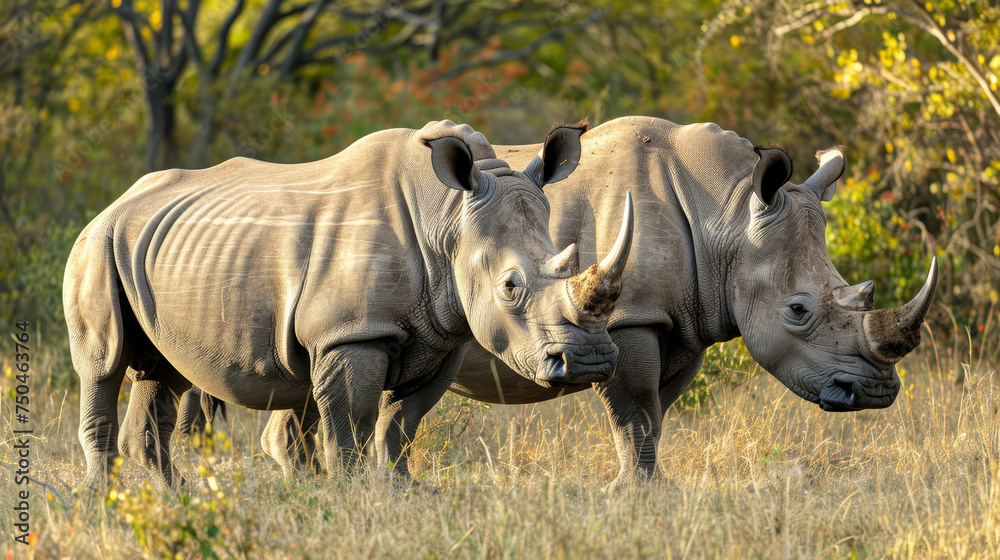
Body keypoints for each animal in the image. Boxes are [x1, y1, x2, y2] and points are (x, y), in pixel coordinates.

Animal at [63, 120, 635, 490]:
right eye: (510, 287)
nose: (589, 362)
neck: (448, 219)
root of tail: (114, 201)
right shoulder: (351, 333)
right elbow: (349, 422)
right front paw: (353, 493)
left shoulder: (445, 334)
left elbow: (402, 422)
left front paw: (404, 491)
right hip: (95, 244)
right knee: (103, 364)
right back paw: (103, 498)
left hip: (156, 251)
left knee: (164, 369)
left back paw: (173, 496)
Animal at [262, 116, 937, 487]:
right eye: (798, 311)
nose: (877, 392)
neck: (727, 215)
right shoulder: (632, 316)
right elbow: (635, 409)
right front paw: (638, 494)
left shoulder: (686, 319)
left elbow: (657, 413)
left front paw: (644, 486)